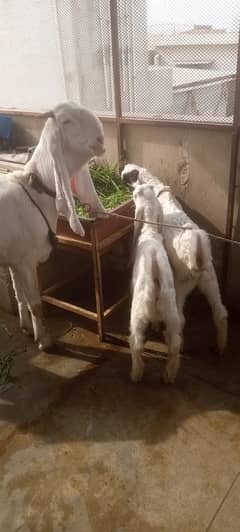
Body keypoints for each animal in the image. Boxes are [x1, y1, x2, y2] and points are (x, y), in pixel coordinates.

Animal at [0, 101, 106, 350]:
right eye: (66, 121)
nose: (101, 140)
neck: (34, 192)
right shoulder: (25, 261)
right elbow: (35, 303)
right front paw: (44, 340)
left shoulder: (13, 259)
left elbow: (19, 294)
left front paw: (26, 327)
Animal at [123, 162, 228, 354]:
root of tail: (198, 253)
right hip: (210, 280)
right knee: (220, 313)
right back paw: (220, 347)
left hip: (181, 285)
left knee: (180, 319)